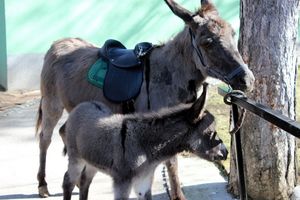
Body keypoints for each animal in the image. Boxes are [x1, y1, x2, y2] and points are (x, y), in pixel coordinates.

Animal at [62, 85, 227, 200]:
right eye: (210, 133)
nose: (225, 153)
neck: (146, 148)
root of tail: (83, 105)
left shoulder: (144, 181)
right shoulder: (122, 183)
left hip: (92, 161)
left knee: (84, 181)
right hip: (76, 158)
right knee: (69, 181)